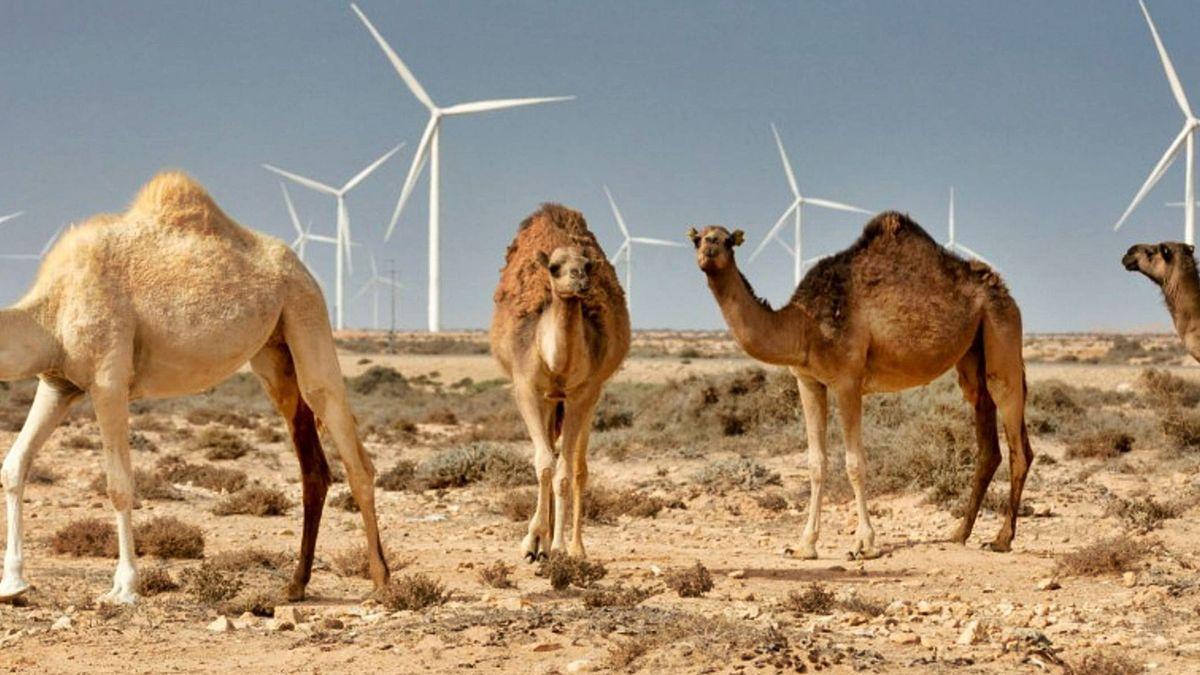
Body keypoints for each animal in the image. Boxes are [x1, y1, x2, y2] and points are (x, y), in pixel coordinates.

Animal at [0, 170, 386, 600]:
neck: (49, 313)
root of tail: (299, 265)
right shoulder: (59, 384)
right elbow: (14, 465)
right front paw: (13, 583)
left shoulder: (109, 381)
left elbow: (119, 485)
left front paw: (125, 588)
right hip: (274, 353)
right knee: (313, 466)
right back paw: (296, 584)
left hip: (306, 310)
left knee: (349, 445)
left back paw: (382, 583)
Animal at [492, 204, 633, 557]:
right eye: (554, 268)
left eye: (586, 265)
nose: (579, 279)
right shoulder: (526, 389)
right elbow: (543, 464)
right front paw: (532, 542)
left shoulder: (582, 393)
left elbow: (566, 473)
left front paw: (555, 547)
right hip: (548, 401)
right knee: (552, 457)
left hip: (586, 399)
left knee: (578, 467)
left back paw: (576, 548)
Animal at [691, 211, 1036, 557]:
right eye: (697, 238)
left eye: (727, 240)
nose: (708, 249)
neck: (804, 325)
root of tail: (1003, 290)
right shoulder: (807, 380)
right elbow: (816, 463)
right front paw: (804, 545)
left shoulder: (847, 381)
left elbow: (854, 463)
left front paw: (864, 543)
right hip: (972, 353)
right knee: (987, 437)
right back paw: (958, 533)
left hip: (1002, 327)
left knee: (1016, 435)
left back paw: (1001, 539)